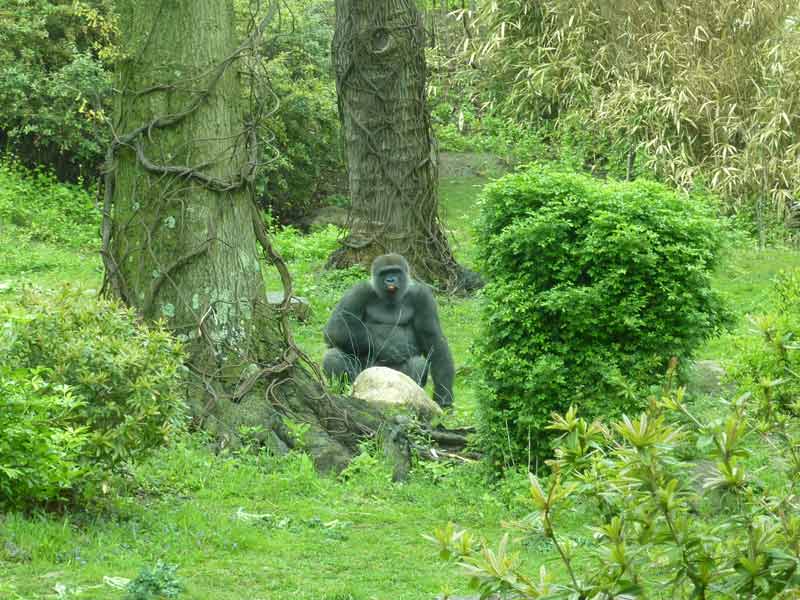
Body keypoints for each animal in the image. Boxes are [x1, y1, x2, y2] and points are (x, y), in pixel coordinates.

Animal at [320, 253, 456, 408]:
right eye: (384, 273)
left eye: (395, 271)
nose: (390, 280)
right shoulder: (358, 292)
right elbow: (336, 328)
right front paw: (390, 349)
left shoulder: (423, 296)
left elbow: (434, 340)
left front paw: (444, 393)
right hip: (363, 378)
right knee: (333, 355)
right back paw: (345, 391)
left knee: (418, 363)